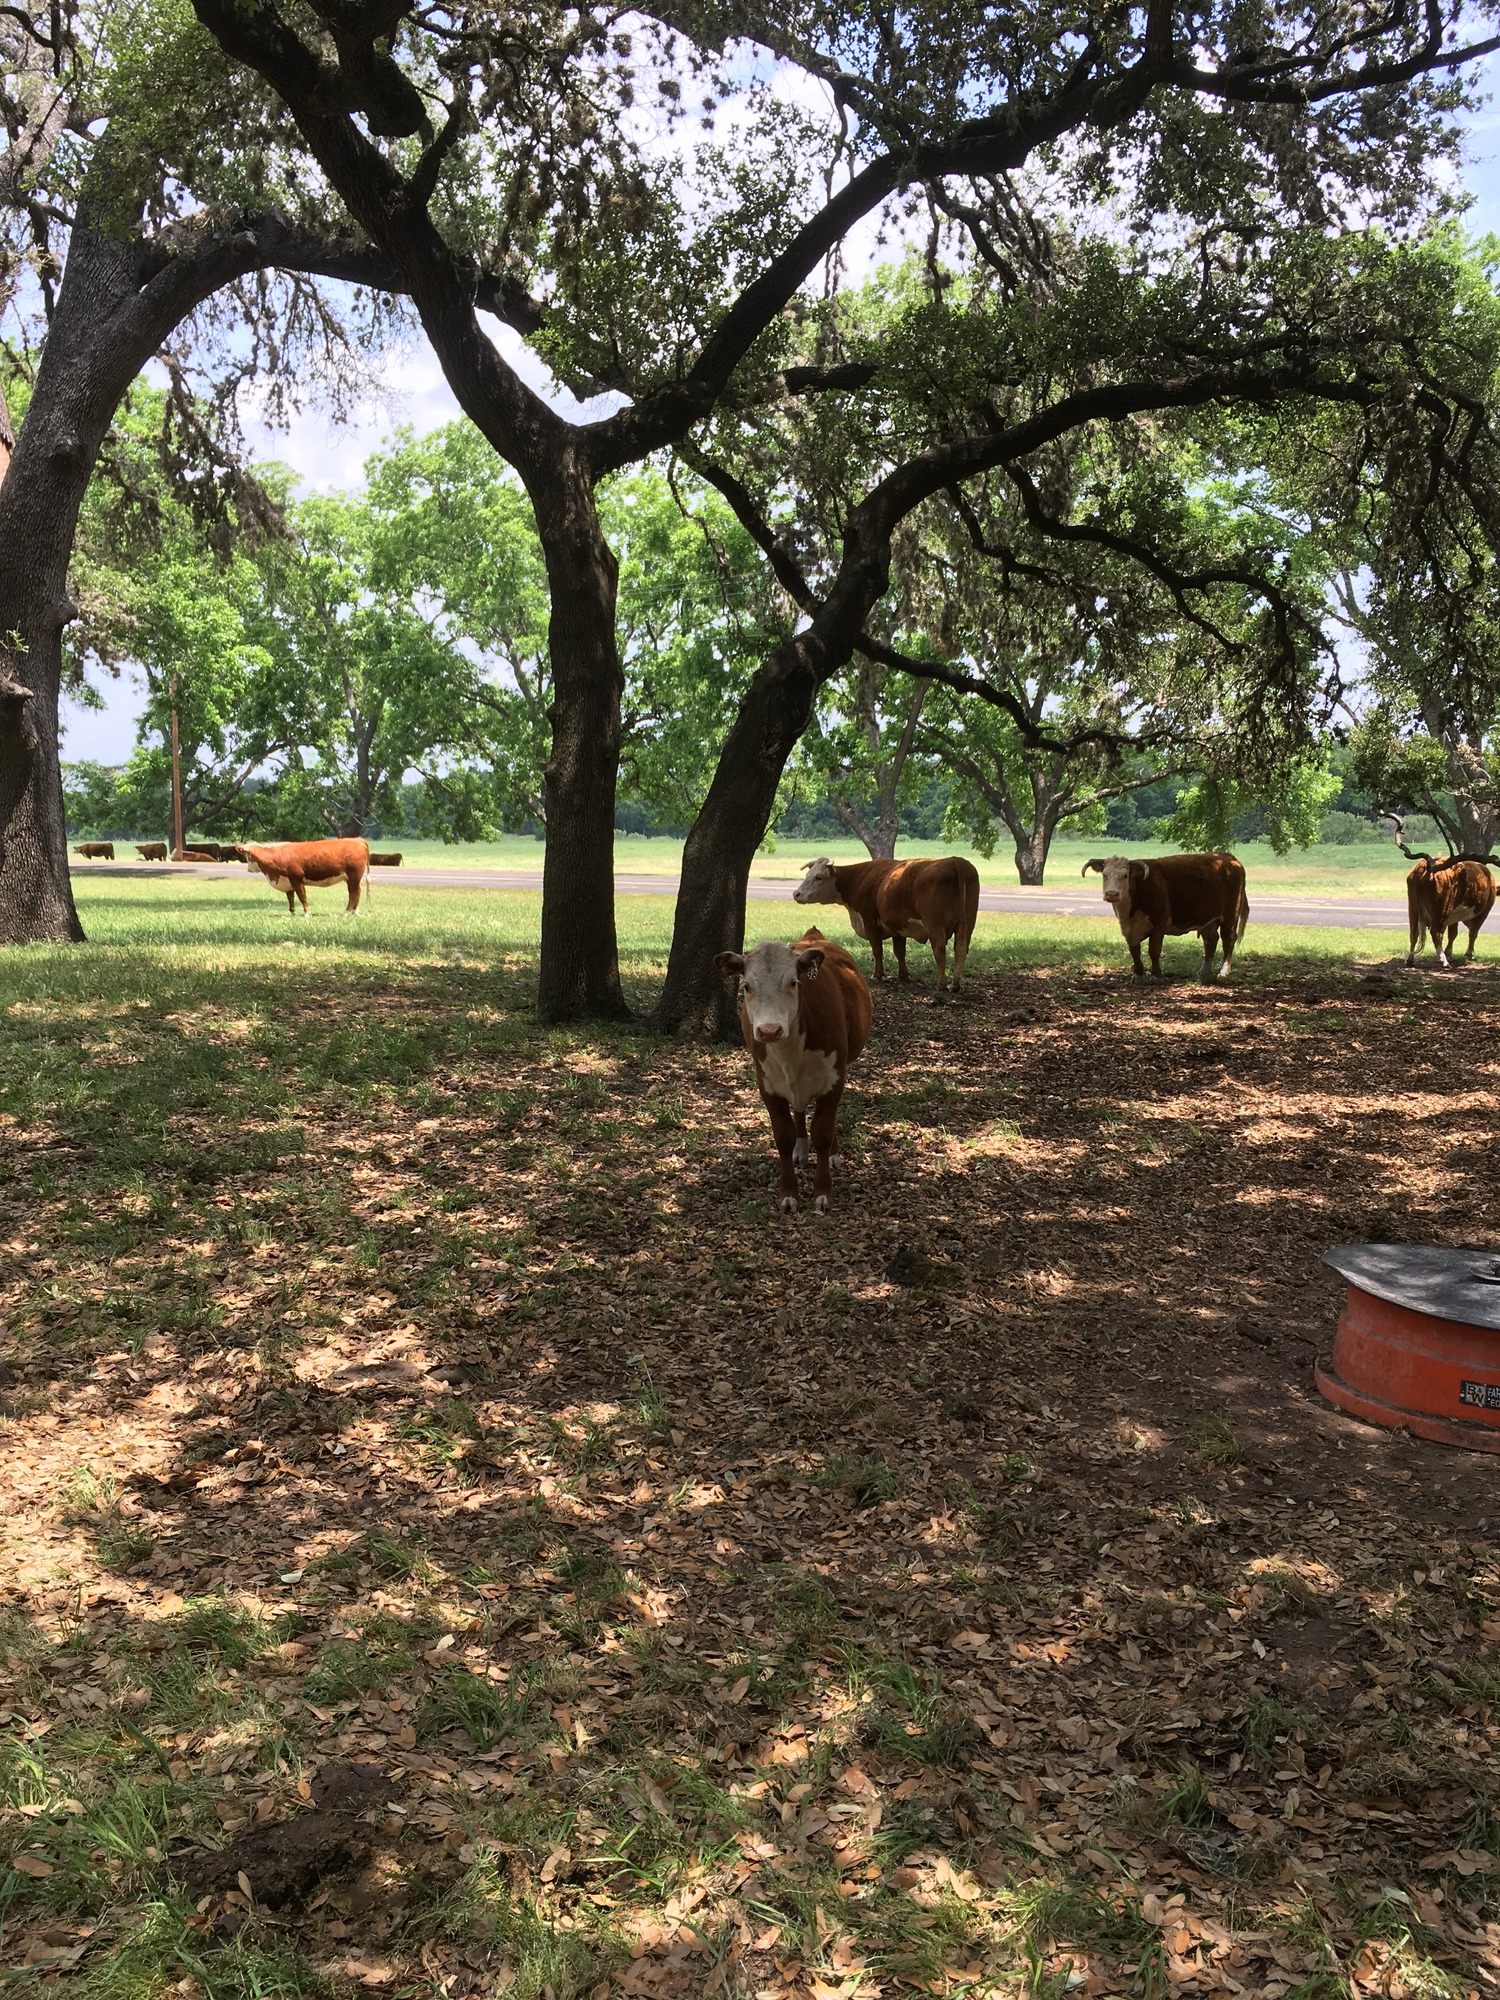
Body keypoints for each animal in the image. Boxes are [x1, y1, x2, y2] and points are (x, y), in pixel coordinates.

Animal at [237, 837, 371, 914]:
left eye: (247, 856)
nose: (248, 869)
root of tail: (358, 839)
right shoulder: (288, 882)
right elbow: (290, 898)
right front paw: (292, 913)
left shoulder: (296, 879)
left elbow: (302, 897)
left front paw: (307, 913)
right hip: (352, 878)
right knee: (356, 892)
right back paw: (354, 912)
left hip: (354, 876)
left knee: (353, 893)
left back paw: (347, 912)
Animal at [714, 927, 872, 1213]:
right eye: (747, 986)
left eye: (793, 983)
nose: (769, 1030)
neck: (789, 1050)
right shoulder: (767, 1084)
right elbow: (783, 1137)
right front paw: (788, 1194)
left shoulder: (834, 1079)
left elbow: (822, 1132)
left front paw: (823, 1192)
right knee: (798, 1111)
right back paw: (801, 1148)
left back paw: (833, 1154)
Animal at [792, 854, 980, 994]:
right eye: (807, 876)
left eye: (818, 877)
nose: (796, 894)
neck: (857, 879)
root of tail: (955, 860)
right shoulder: (898, 927)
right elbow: (899, 952)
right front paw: (903, 975)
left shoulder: (869, 921)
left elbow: (877, 950)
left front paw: (878, 974)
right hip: (967, 925)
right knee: (961, 949)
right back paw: (955, 984)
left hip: (936, 927)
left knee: (940, 951)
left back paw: (941, 984)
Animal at [1082, 851, 1248, 980]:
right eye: (1104, 875)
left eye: (1125, 875)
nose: (1111, 894)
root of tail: (1228, 857)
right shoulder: (1129, 929)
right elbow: (1134, 951)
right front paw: (1138, 974)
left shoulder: (1158, 924)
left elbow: (1154, 950)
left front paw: (1156, 975)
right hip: (1208, 920)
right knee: (1210, 940)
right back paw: (1203, 971)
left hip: (1230, 915)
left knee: (1228, 940)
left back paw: (1224, 971)